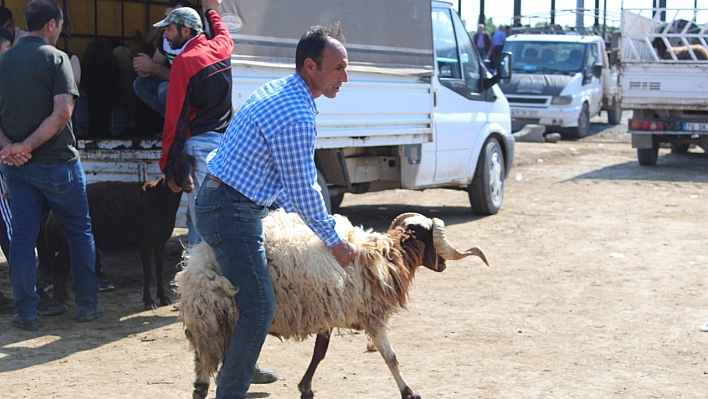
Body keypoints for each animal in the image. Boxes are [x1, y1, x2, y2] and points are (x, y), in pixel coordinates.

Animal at [44, 152, 196, 310]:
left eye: (193, 167)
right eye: (176, 167)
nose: (189, 185)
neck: (159, 199)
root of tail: (52, 215)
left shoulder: (160, 242)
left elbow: (160, 270)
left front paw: (163, 298)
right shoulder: (144, 242)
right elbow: (147, 273)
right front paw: (149, 301)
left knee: (64, 267)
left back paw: (65, 296)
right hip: (66, 242)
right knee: (57, 266)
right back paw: (60, 299)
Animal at [174, 209, 490, 399]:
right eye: (432, 241)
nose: (443, 266)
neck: (386, 256)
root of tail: (194, 270)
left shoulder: (326, 310)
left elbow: (319, 352)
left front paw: (306, 388)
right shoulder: (370, 314)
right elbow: (390, 357)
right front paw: (409, 391)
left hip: (211, 329)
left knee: (204, 378)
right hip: (219, 324)